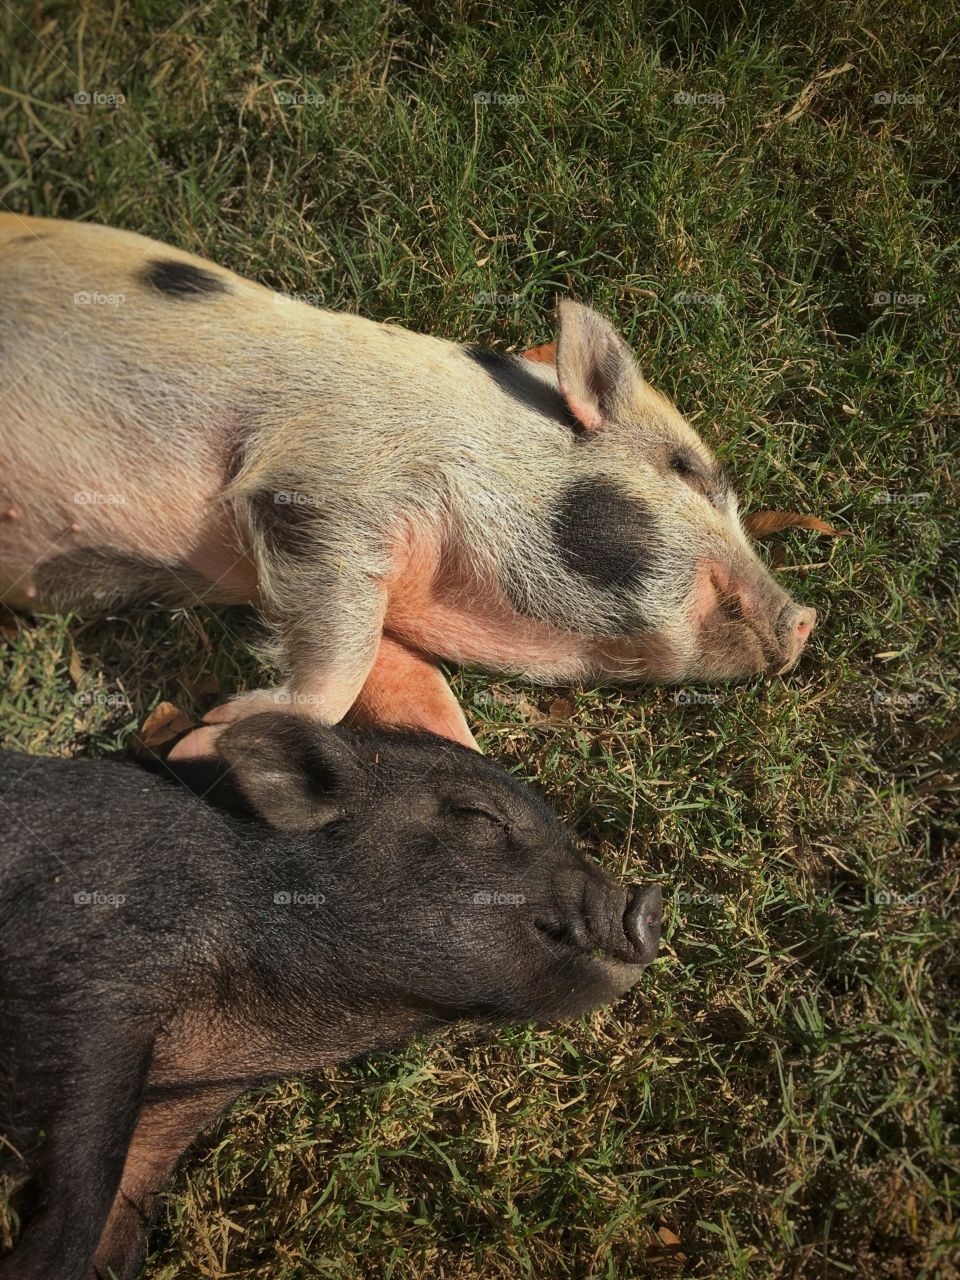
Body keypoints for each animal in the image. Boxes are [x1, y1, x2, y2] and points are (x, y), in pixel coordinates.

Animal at [0, 215, 816, 756]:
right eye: (691, 472)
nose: (807, 618)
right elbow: (339, 661)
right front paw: (209, 736)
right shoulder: (318, 483)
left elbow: (405, 681)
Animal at [0, 713, 662, 1280]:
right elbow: (82, 1198)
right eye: (477, 815)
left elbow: (117, 1226)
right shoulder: (96, 988)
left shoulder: (173, 1112)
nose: (650, 900)